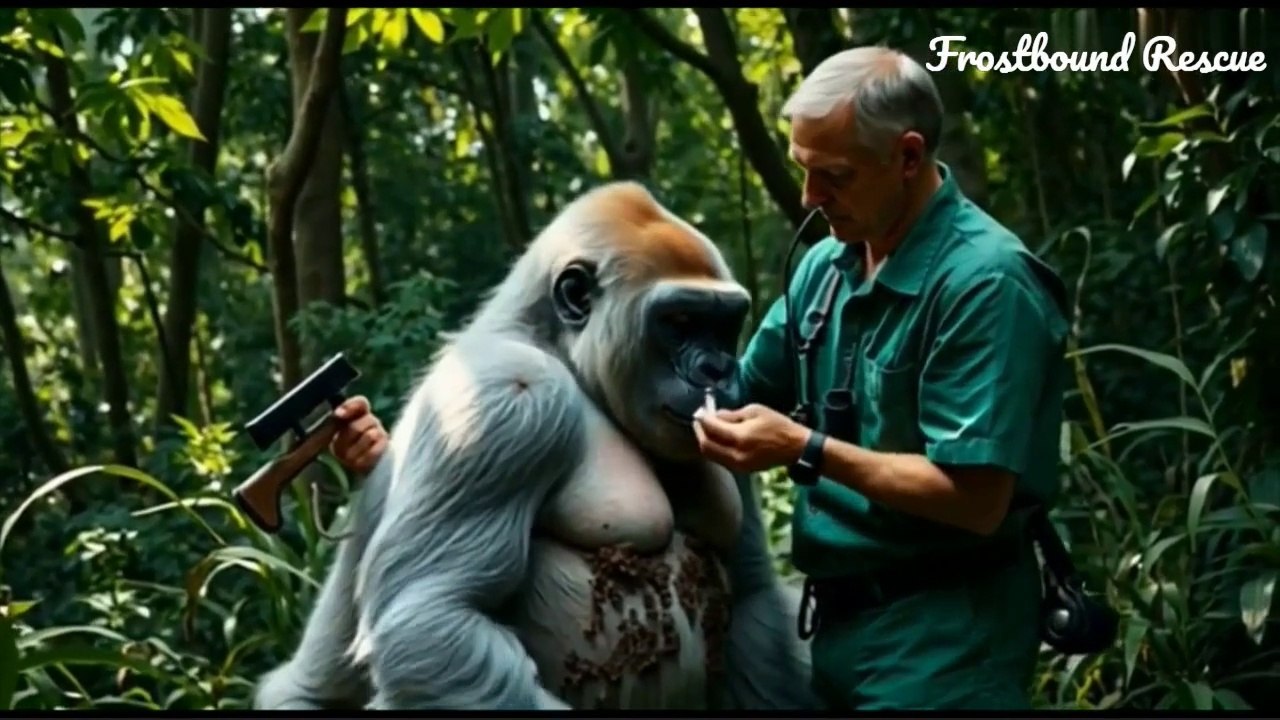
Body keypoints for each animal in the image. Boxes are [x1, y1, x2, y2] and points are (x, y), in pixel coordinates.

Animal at [251, 181, 815, 711]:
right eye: (679, 323)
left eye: (723, 325)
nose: (717, 370)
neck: (559, 348)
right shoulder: (507, 397)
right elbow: (429, 618)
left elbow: (754, 596)